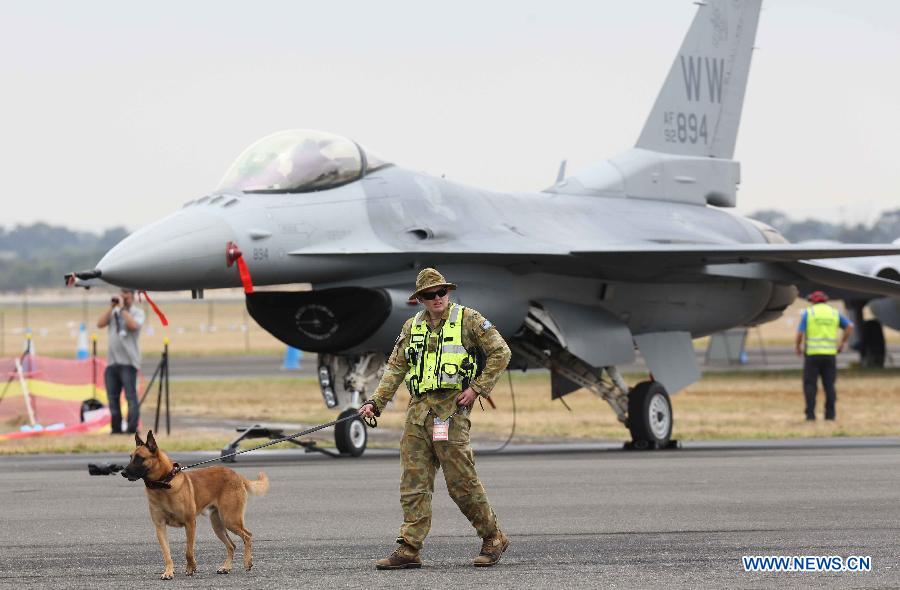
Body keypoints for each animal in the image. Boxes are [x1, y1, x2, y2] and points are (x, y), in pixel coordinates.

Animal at [123, 432, 270, 580]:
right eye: (130, 457)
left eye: (140, 458)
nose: (123, 473)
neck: (164, 484)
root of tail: (236, 474)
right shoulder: (160, 527)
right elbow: (166, 553)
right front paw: (168, 571)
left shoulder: (190, 524)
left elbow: (188, 551)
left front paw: (191, 568)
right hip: (218, 525)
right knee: (232, 545)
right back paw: (226, 567)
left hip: (230, 520)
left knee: (247, 536)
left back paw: (247, 562)